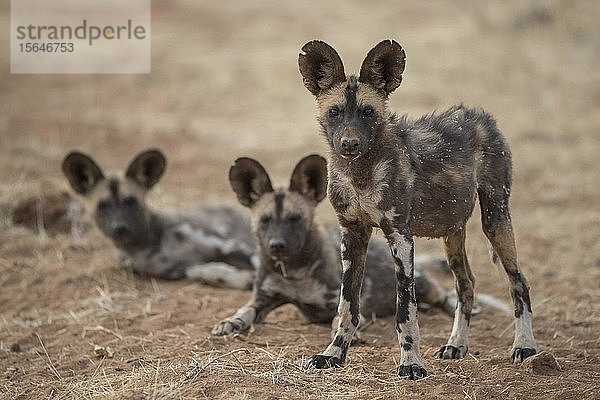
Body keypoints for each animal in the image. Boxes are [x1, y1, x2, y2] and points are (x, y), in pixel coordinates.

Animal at [61, 148, 255, 290]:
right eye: (103, 206)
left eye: (131, 201)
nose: (119, 227)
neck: (148, 245)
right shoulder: (184, 269)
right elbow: (208, 272)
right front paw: (245, 279)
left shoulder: (226, 245)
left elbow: (253, 261)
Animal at [211, 155, 506, 340]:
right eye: (265, 220)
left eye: (296, 219)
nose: (277, 246)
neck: (294, 272)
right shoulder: (262, 299)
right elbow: (245, 311)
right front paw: (230, 322)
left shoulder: (343, 300)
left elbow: (340, 318)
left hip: (418, 282)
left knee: (442, 292)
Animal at [300, 39, 540, 378]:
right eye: (334, 112)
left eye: (368, 112)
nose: (349, 144)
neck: (360, 174)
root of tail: (481, 116)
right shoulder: (352, 235)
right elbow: (347, 305)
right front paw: (333, 354)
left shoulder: (400, 236)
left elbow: (406, 310)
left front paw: (411, 362)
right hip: (453, 234)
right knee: (466, 284)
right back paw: (457, 345)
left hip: (496, 218)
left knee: (519, 283)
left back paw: (524, 346)